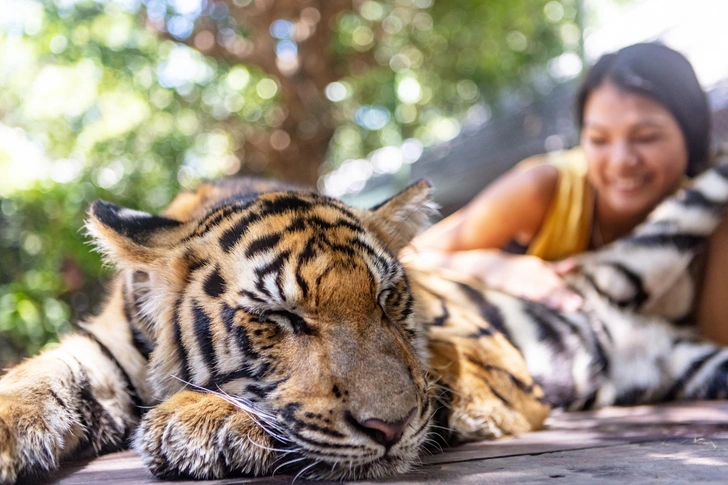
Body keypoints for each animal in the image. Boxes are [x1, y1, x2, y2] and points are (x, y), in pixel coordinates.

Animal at [1, 160, 728, 484]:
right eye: (280, 316)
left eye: (388, 299)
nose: (390, 430)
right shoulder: (102, 350)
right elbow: (33, 377)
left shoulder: (483, 351)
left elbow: (434, 373)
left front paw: (205, 418)